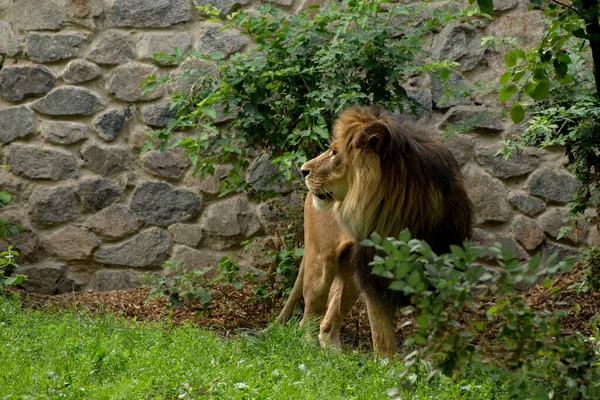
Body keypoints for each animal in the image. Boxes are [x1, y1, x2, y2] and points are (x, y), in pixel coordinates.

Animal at [278, 192, 360, 348]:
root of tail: (309, 192)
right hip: (322, 262)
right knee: (307, 320)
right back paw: (309, 347)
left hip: (350, 274)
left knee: (330, 321)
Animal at [300, 105, 474, 356]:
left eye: (334, 153)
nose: (302, 170)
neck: (399, 215)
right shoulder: (374, 276)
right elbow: (383, 338)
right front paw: (387, 364)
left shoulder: (440, 278)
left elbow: (437, 335)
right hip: (321, 264)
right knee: (308, 317)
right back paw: (307, 351)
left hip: (349, 273)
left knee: (327, 322)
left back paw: (334, 356)